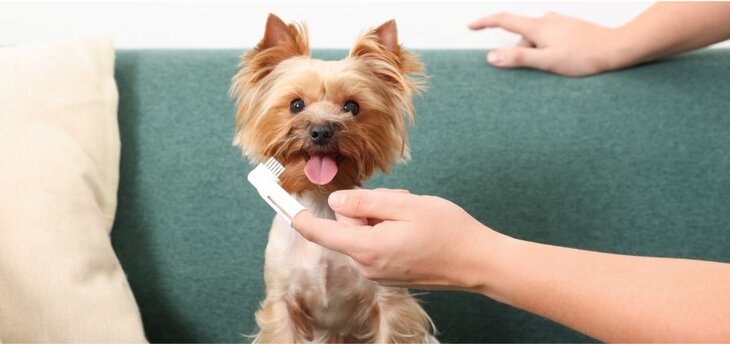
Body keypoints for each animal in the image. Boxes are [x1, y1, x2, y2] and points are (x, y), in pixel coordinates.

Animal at [232, 13, 432, 342]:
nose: (322, 130)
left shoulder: (390, 303)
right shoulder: (282, 303)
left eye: (352, 106)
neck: (320, 201)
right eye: (296, 105)